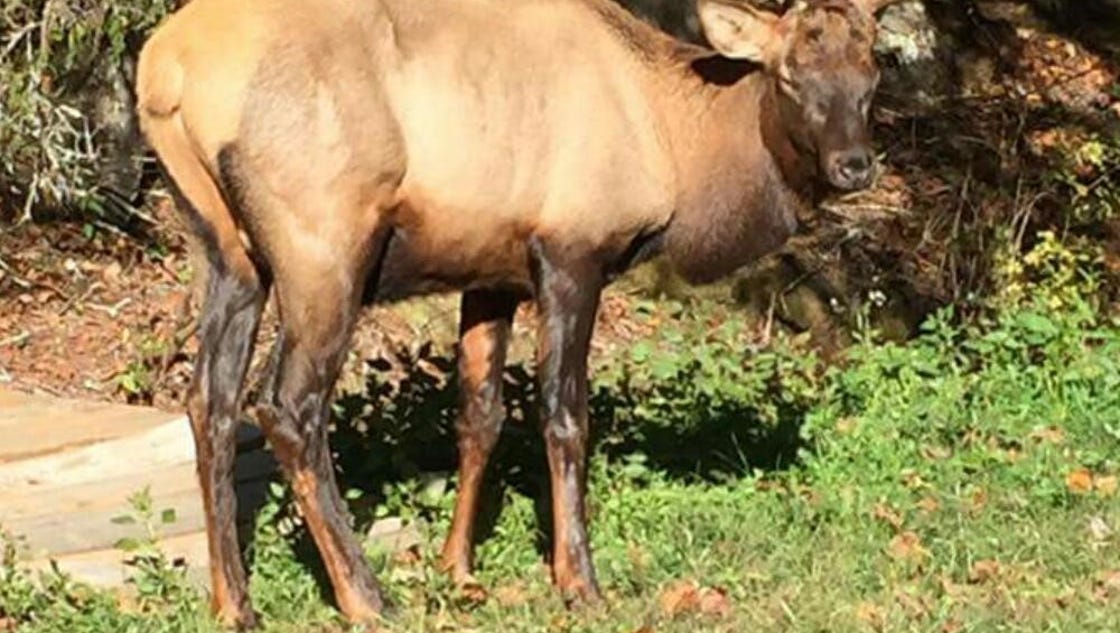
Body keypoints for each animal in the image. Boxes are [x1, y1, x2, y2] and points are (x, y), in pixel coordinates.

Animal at [133, 0, 900, 622]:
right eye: (790, 75)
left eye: (871, 76)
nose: (855, 165)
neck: (676, 146)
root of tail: (163, 72)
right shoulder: (570, 252)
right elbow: (563, 416)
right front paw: (579, 581)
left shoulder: (491, 271)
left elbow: (479, 415)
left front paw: (457, 567)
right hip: (322, 241)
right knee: (287, 406)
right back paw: (364, 595)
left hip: (229, 254)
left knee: (209, 400)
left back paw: (233, 602)